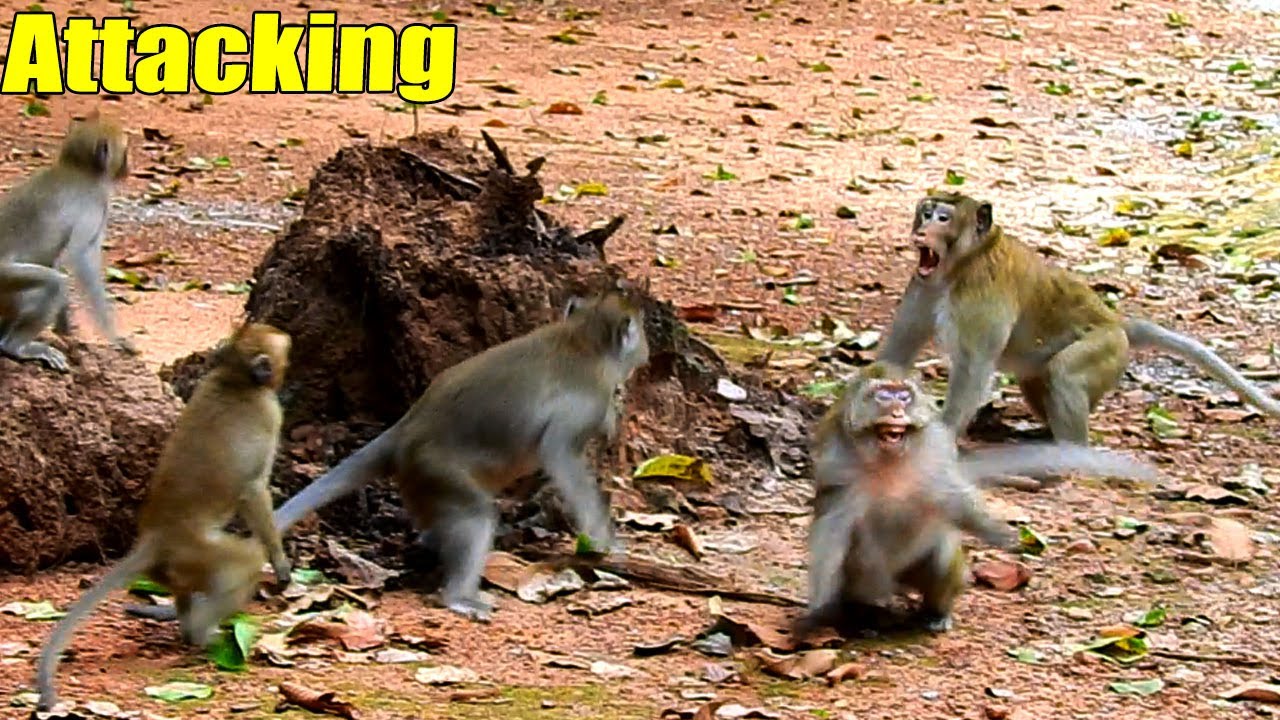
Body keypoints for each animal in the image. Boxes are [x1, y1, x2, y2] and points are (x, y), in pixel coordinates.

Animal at [0, 114, 135, 373]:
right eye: (124, 152)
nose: (128, 166)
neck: (78, 169)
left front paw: (65, 329)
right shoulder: (95, 205)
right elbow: (81, 258)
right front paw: (114, 337)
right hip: (4, 277)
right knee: (54, 283)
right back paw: (15, 347)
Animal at [35, 323, 293, 712]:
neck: (235, 377)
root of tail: (154, 537)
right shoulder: (269, 413)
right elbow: (253, 489)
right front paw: (281, 564)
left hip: (176, 566)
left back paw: (189, 627)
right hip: (199, 553)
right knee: (244, 564)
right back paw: (200, 635)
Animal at [269, 291, 650, 622]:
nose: (646, 351)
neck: (583, 337)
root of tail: (406, 430)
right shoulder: (589, 400)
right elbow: (559, 455)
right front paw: (607, 544)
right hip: (434, 470)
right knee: (475, 514)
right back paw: (459, 597)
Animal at [795, 362, 1159, 637]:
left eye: (904, 396)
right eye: (884, 395)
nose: (897, 410)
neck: (889, 461)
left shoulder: (936, 448)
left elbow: (948, 495)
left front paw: (998, 533)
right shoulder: (836, 461)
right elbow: (833, 523)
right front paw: (819, 607)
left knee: (941, 556)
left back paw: (935, 612)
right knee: (862, 569)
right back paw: (864, 614)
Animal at [876, 191, 1280, 444]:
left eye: (943, 217)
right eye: (926, 212)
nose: (922, 229)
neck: (962, 264)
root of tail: (1116, 321)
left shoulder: (981, 294)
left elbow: (974, 367)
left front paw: (943, 433)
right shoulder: (924, 285)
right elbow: (898, 352)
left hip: (1105, 348)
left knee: (1064, 373)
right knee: (1038, 378)